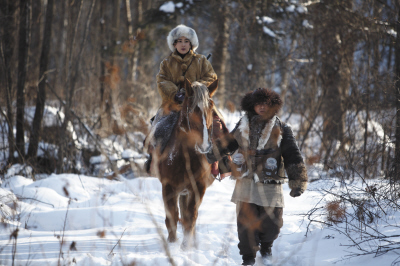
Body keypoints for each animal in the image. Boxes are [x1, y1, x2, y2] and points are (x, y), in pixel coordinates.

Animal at [150, 78, 219, 248]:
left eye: (211, 108)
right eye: (190, 109)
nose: (204, 146)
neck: (184, 156)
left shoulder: (198, 188)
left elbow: (190, 216)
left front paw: (186, 246)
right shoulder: (168, 187)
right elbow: (172, 217)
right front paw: (172, 243)